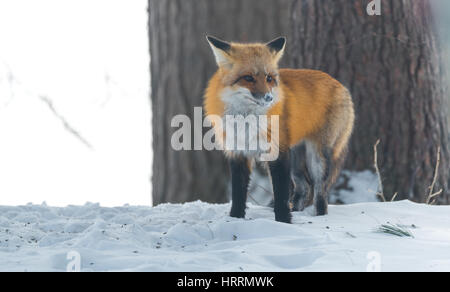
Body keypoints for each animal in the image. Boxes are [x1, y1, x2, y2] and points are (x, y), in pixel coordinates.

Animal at [204, 36, 356, 224]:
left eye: (269, 78)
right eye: (248, 78)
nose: (269, 98)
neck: (247, 122)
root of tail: (341, 85)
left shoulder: (278, 153)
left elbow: (281, 195)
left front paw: (283, 222)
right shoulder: (237, 153)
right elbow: (238, 194)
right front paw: (235, 219)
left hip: (317, 157)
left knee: (320, 192)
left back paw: (320, 217)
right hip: (295, 158)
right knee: (304, 187)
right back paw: (297, 211)